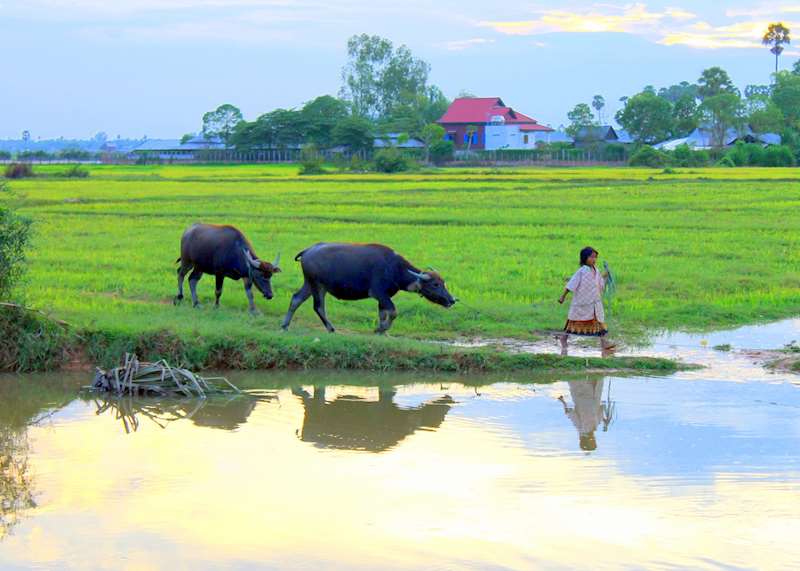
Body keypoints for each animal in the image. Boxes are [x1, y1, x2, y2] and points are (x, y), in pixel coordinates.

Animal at [282, 242, 456, 336]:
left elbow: (383, 313)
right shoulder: (379, 293)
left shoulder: (383, 297)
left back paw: (285, 325)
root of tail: (308, 250)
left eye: (443, 282)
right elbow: (393, 311)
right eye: (435, 284)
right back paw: (331, 328)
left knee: (296, 299)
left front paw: (383, 332)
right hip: (317, 285)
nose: (452, 300)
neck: (394, 268)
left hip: (310, 284)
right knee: (318, 306)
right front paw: (380, 329)